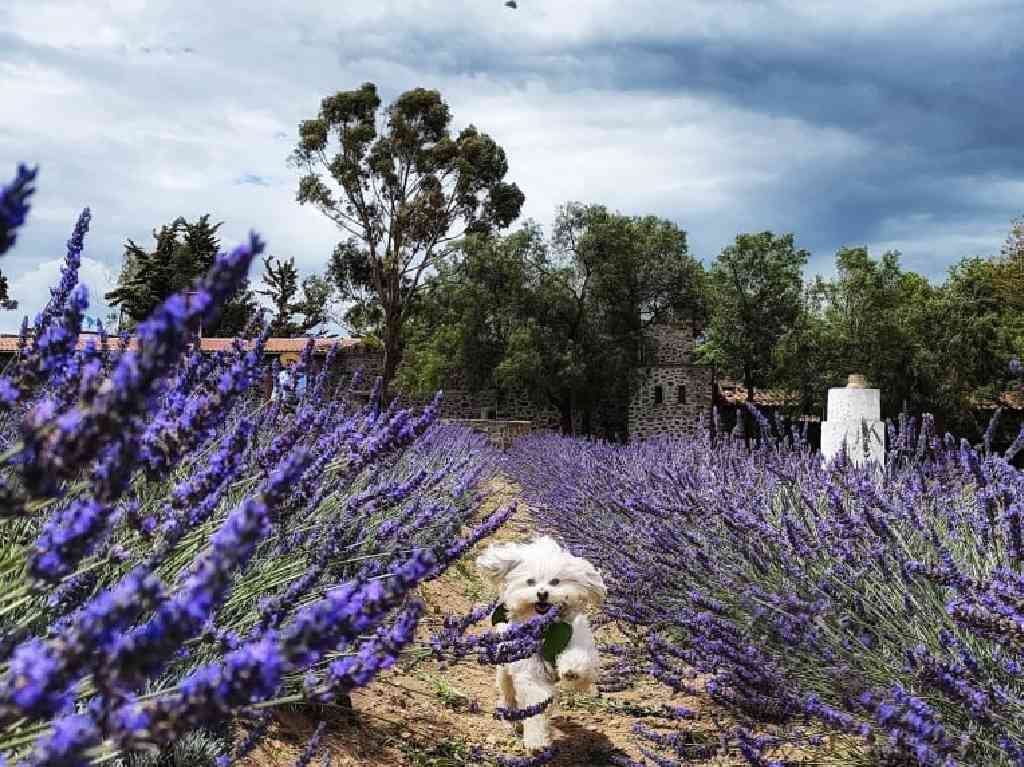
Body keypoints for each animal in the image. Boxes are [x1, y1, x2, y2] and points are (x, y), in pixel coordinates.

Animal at [473, 536, 602, 749]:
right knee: (508, 693)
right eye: (530, 582)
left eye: (555, 581)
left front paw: (572, 670)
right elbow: (537, 702)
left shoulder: (576, 636)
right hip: (504, 670)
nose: (542, 593)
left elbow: (580, 659)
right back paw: (511, 717)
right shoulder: (530, 668)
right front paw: (536, 740)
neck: (547, 630)